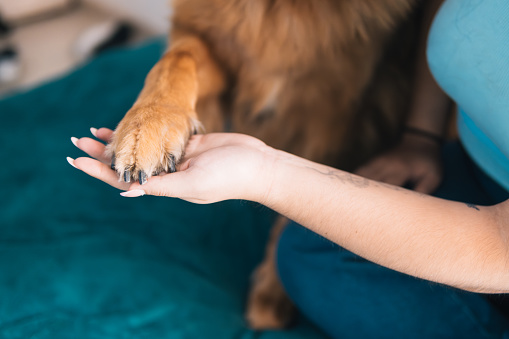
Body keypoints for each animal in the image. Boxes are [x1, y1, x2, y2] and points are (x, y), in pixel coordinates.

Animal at [106, 0, 416, 330]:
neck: (281, 10)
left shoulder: (333, 116)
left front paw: (273, 291)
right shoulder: (210, 46)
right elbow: (177, 58)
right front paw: (147, 126)